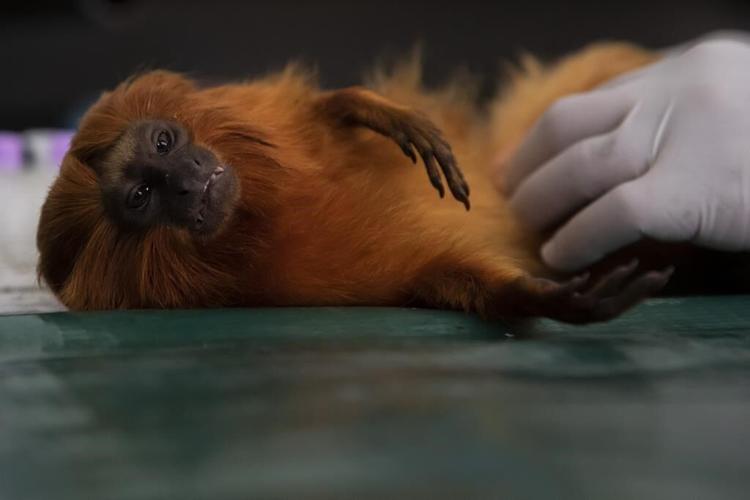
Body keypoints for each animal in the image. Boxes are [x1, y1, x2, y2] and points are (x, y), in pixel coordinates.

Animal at [36, 42, 674, 323]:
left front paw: (371, 109)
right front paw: (536, 297)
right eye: (142, 196)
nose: (187, 181)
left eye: (164, 144)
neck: (264, 211)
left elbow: (328, 116)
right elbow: (445, 274)